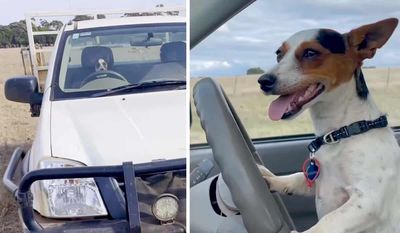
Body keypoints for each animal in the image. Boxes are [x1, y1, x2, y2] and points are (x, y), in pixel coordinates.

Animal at [258, 18, 398, 233]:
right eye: (279, 54)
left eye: (310, 53)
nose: (263, 81)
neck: (340, 133)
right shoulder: (317, 180)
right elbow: (297, 177)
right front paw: (273, 179)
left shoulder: (368, 199)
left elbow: (327, 222)